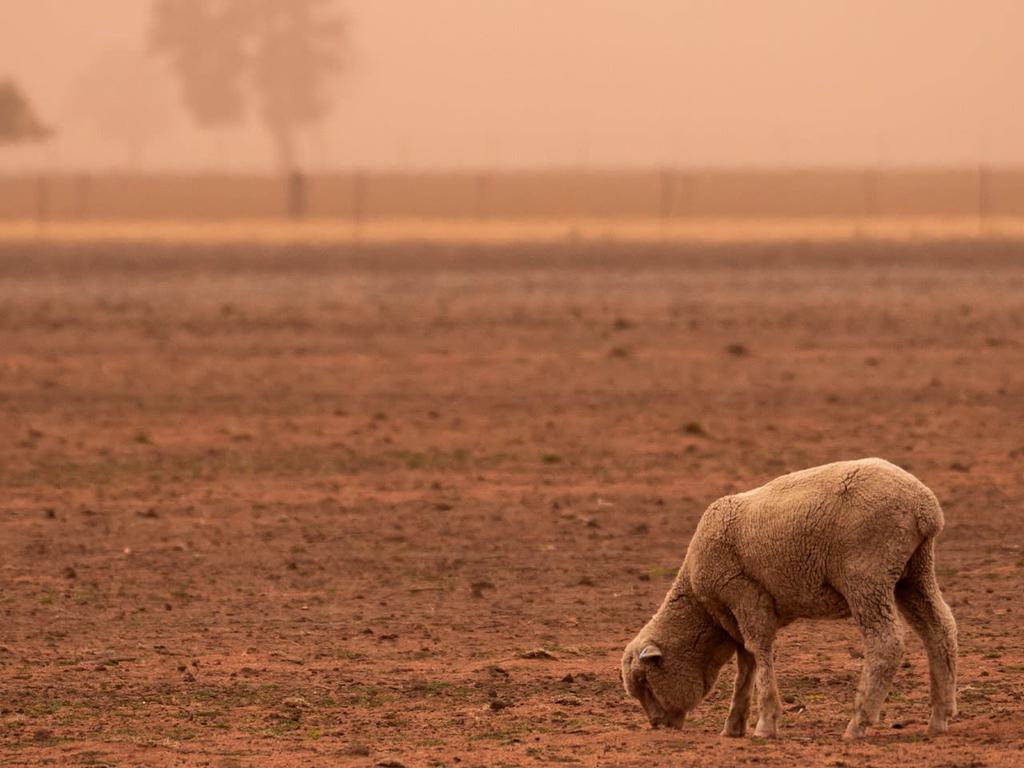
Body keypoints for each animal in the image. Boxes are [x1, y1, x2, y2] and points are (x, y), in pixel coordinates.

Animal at [618, 460, 954, 741]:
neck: (704, 611)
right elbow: (746, 662)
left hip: (867, 575)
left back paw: (858, 724)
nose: (656, 724)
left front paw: (766, 723)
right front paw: (734, 725)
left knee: (886, 643)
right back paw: (940, 717)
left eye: (645, 682)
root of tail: (924, 507)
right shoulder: (737, 615)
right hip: (914, 572)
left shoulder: (745, 593)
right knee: (940, 629)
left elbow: (759, 650)